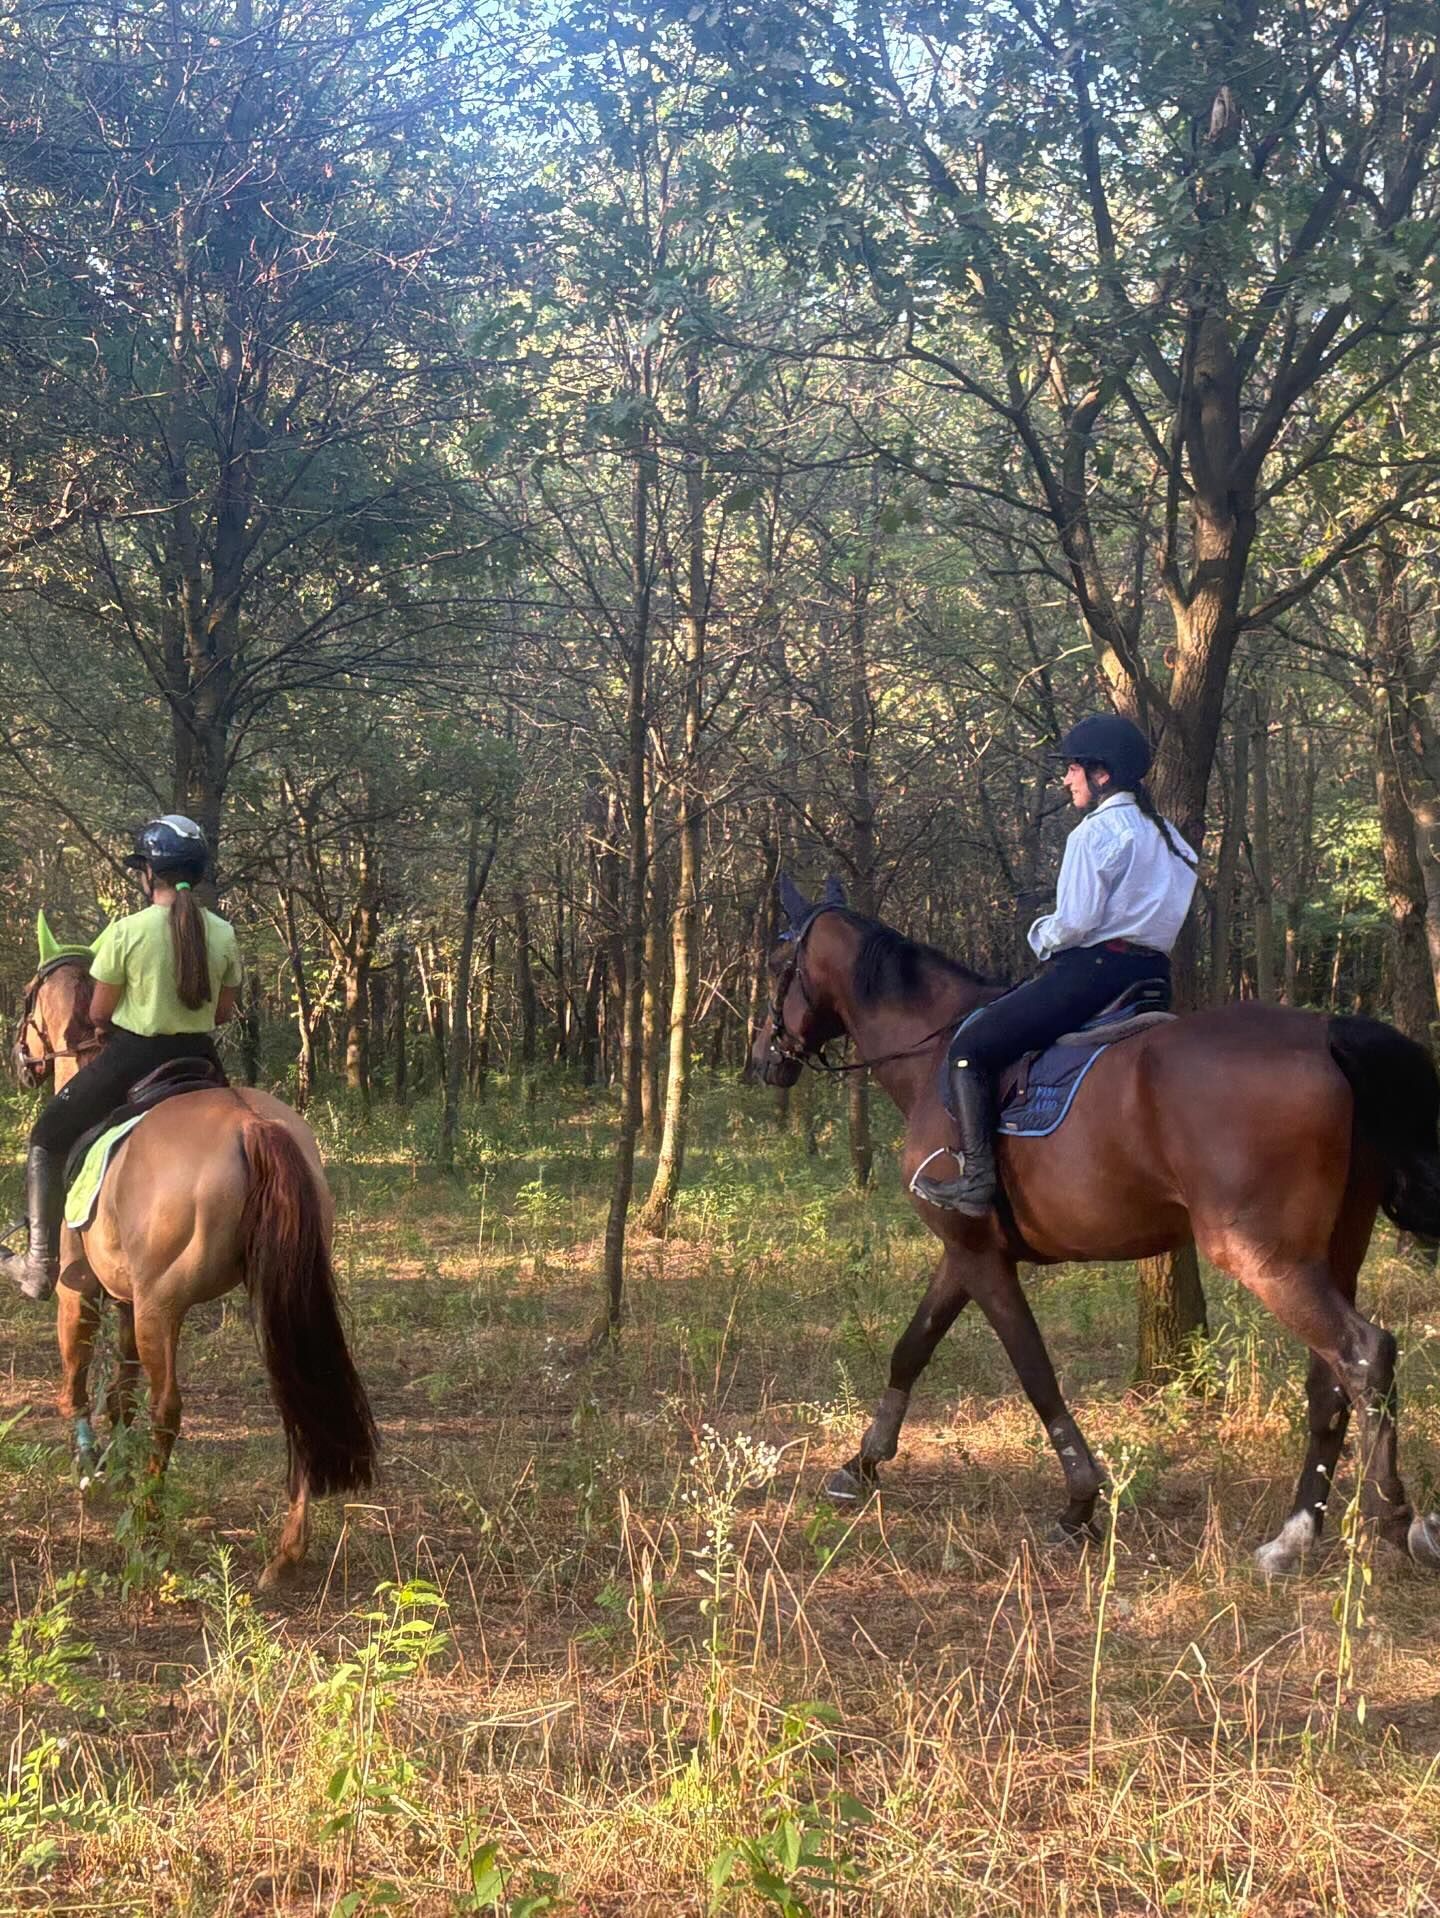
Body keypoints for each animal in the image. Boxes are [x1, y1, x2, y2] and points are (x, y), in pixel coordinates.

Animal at [10, 948, 377, 1587]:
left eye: (27, 1000)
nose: (20, 1064)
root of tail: (253, 1125)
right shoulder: (127, 1299)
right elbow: (121, 1394)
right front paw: (115, 1463)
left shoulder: (81, 1292)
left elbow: (78, 1382)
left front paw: (91, 1471)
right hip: (273, 1292)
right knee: (294, 1392)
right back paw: (286, 1551)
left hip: (164, 1304)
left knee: (168, 1409)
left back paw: (149, 1523)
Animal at [749, 876, 1440, 1575]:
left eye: (778, 965)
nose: (763, 1062)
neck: (932, 1054)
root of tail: (1327, 1034)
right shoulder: (964, 1250)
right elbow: (912, 1347)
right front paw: (859, 1465)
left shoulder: (978, 1256)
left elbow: (1033, 1369)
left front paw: (1080, 1501)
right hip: (1335, 1251)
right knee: (1330, 1379)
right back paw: (1296, 1535)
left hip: (1263, 1256)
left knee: (1364, 1354)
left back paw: (1395, 1521)